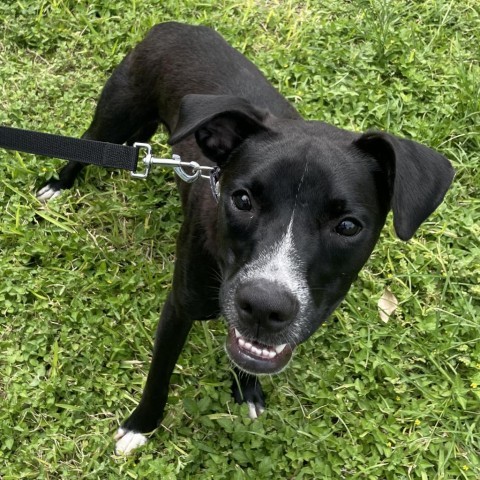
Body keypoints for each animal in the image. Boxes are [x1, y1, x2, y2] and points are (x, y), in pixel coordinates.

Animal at [37, 21, 454, 454]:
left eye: (348, 226)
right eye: (242, 200)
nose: (265, 306)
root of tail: (171, 25)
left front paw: (246, 389)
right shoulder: (179, 306)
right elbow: (159, 375)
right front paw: (141, 425)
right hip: (116, 119)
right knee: (84, 147)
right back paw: (58, 186)